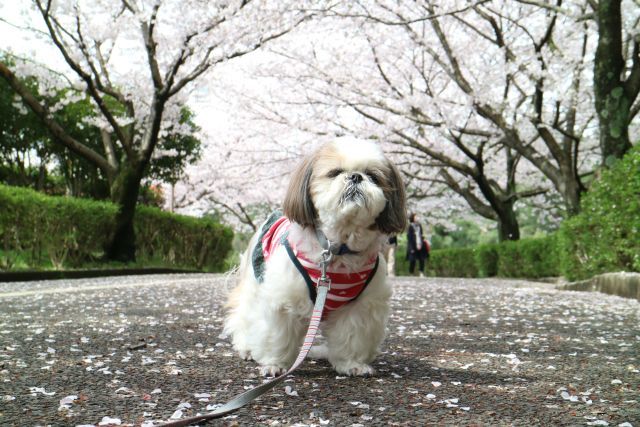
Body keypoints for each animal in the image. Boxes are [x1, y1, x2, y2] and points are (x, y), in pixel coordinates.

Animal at [224, 139, 404, 376]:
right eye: (335, 172)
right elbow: (277, 335)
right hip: (255, 285)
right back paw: (246, 348)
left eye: (373, 176)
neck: (338, 249)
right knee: (245, 317)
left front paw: (352, 364)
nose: (355, 176)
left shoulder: (359, 307)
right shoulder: (282, 300)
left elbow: (351, 337)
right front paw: (274, 364)